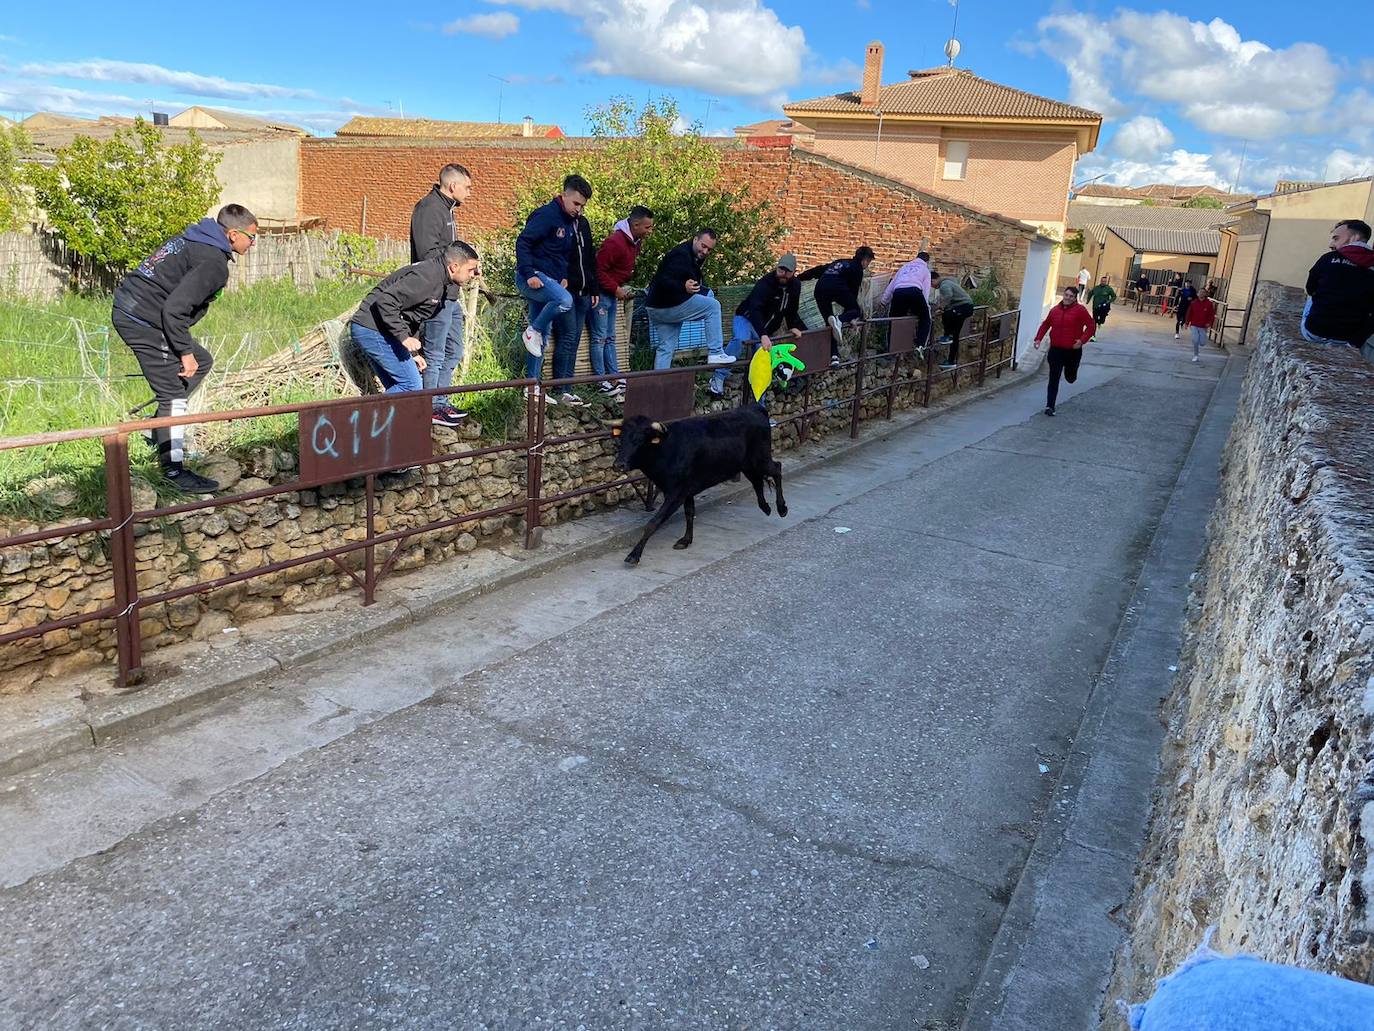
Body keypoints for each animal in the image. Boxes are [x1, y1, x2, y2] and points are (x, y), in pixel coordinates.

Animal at [610, 406, 791, 569]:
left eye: (640, 440)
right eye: (622, 439)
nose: (619, 464)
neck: (667, 449)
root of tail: (755, 408)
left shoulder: (676, 493)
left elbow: (654, 522)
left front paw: (634, 555)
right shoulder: (686, 490)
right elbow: (690, 513)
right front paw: (686, 540)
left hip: (761, 459)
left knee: (777, 468)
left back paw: (781, 508)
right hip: (747, 465)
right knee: (757, 481)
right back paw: (766, 507)